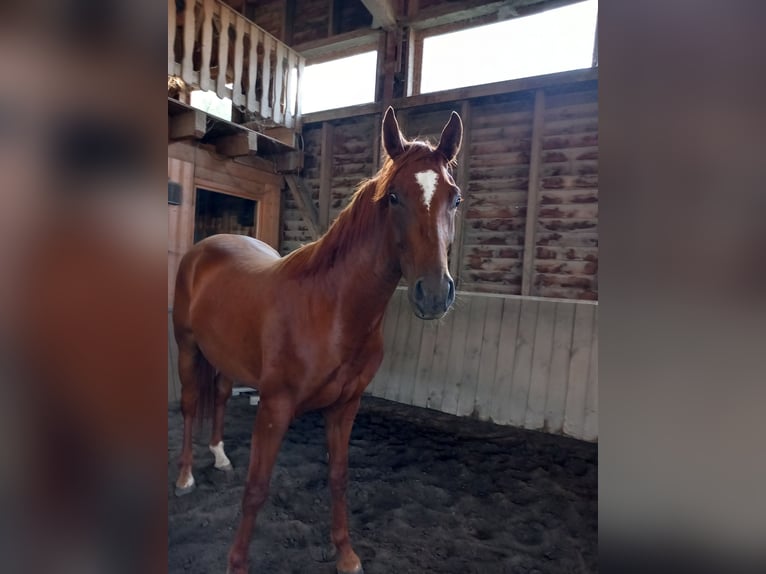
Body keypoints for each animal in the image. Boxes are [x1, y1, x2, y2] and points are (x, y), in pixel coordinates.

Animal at [172, 108, 462, 574]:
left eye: (455, 199)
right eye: (393, 197)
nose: (434, 294)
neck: (332, 309)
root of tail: (206, 247)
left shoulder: (345, 407)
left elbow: (338, 477)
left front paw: (346, 554)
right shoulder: (274, 408)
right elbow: (257, 487)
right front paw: (237, 563)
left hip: (224, 358)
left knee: (218, 396)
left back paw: (219, 456)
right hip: (186, 348)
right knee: (188, 406)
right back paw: (185, 476)